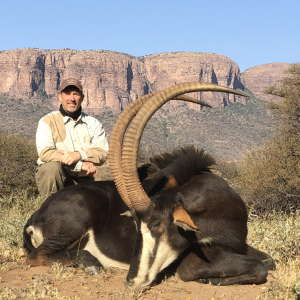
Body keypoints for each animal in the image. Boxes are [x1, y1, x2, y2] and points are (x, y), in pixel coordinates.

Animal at [24, 82, 274, 288]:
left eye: (156, 224)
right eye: (137, 226)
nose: (131, 281)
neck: (217, 209)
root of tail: (37, 213)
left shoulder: (238, 244)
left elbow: (269, 261)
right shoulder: (192, 261)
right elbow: (259, 267)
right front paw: (208, 279)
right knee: (35, 256)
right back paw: (91, 262)